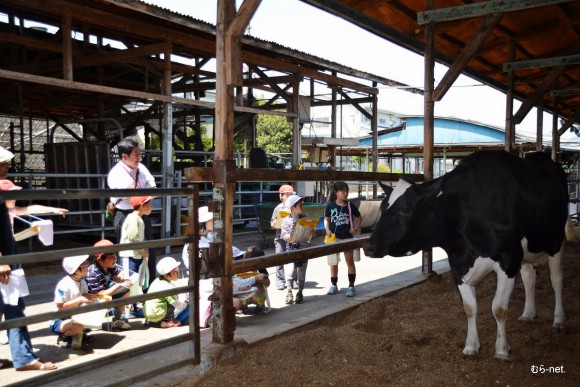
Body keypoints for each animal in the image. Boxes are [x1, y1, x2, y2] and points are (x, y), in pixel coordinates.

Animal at [362, 151, 568, 360]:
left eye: (405, 209)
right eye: (382, 207)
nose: (368, 246)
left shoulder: (508, 259)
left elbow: (499, 308)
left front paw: (502, 349)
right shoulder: (458, 265)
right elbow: (469, 308)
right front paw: (470, 346)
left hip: (556, 241)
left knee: (556, 279)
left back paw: (559, 320)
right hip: (527, 250)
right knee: (529, 277)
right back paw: (528, 313)